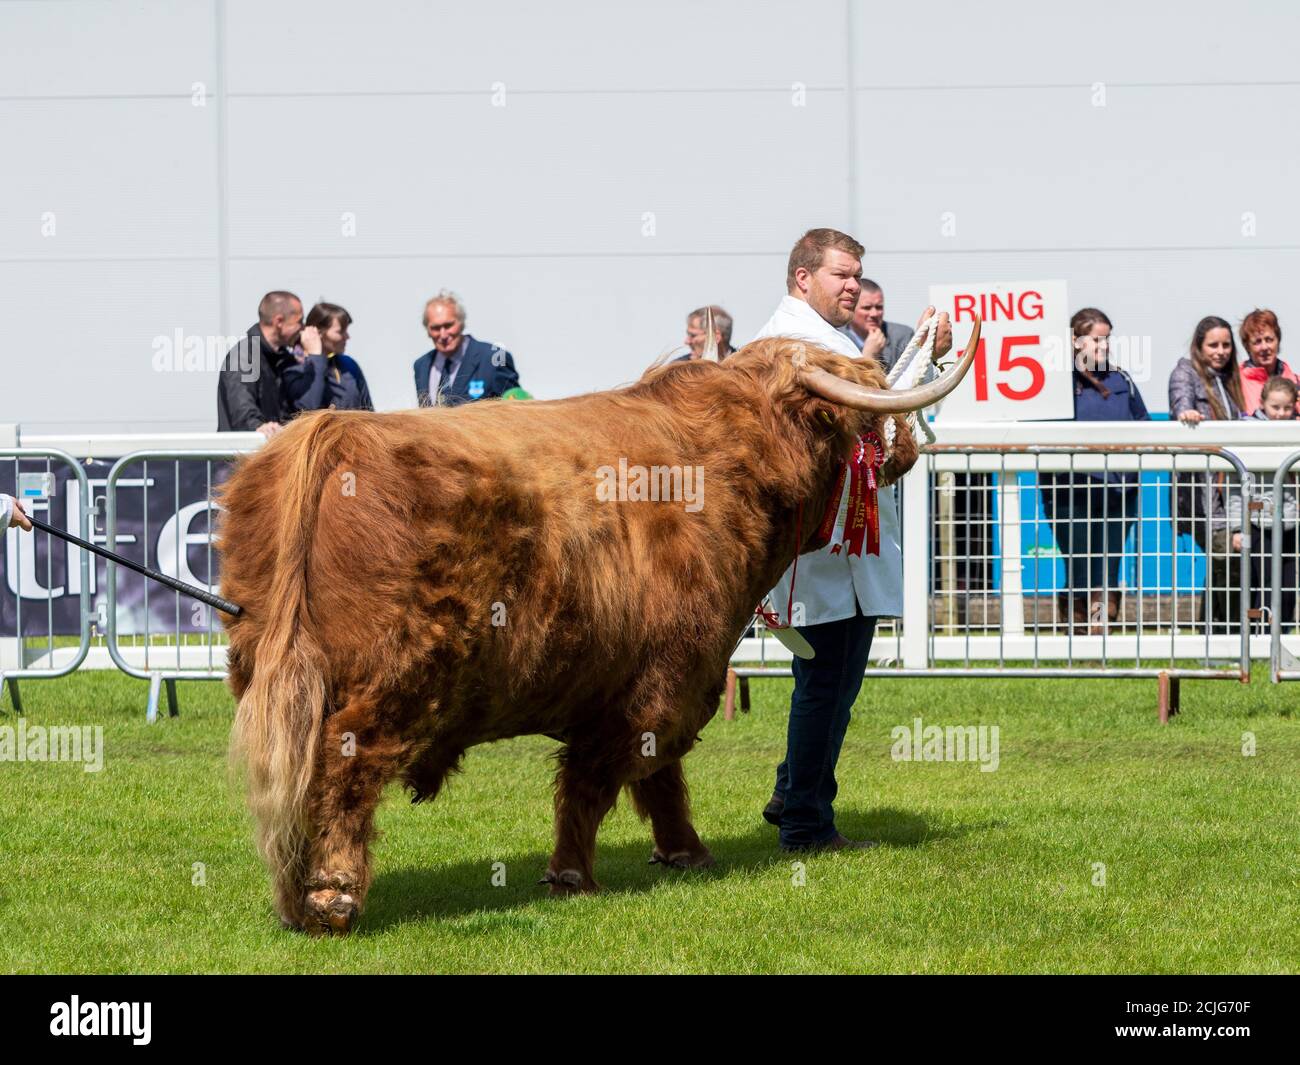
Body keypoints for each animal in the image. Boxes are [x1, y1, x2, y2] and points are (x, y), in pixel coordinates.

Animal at [220, 322, 977, 931]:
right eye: (867, 428)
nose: (910, 447)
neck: (733, 465)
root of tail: (330, 433)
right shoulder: (665, 679)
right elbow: (605, 776)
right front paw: (574, 876)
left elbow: (660, 778)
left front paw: (684, 853)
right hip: (394, 676)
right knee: (346, 767)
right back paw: (333, 898)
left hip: (270, 670)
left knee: (291, 779)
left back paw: (292, 897)